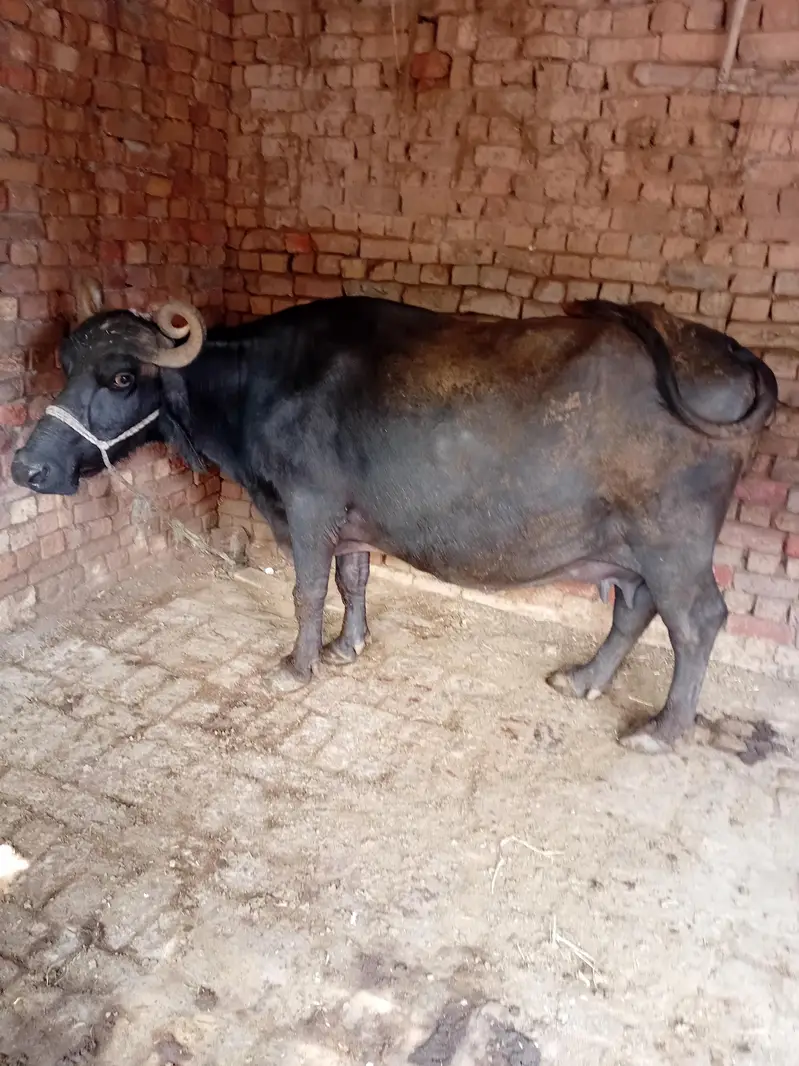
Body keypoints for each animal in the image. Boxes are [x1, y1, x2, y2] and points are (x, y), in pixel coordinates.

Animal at [12, 283, 777, 753]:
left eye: (120, 377)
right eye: (66, 368)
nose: (27, 468)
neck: (262, 383)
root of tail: (730, 352)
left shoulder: (308, 507)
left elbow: (306, 590)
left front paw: (298, 664)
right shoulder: (350, 519)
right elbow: (352, 579)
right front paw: (348, 645)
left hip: (673, 540)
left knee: (697, 621)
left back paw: (662, 729)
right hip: (631, 545)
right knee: (635, 607)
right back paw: (585, 680)